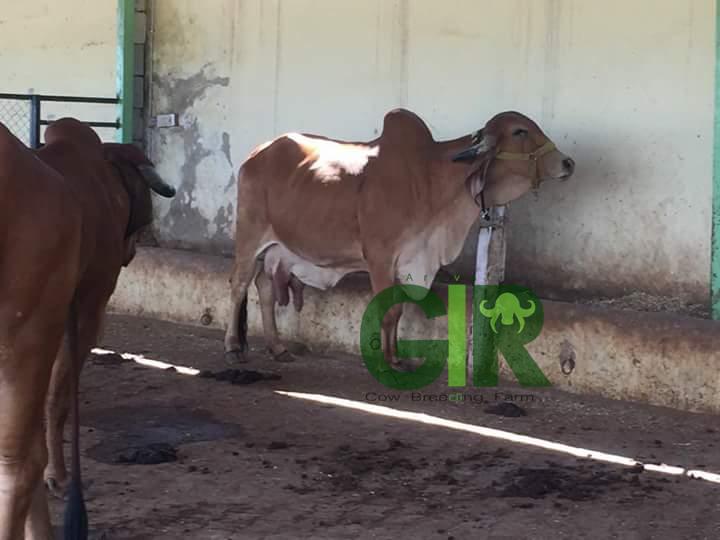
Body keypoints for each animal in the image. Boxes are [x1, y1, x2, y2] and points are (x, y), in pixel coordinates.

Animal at [0, 117, 175, 539]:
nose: (134, 249)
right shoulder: (87, 303)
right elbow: (59, 396)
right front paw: (61, 476)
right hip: (25, 329)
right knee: (17, 461)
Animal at [223, 108, 575, 367]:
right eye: (519, 131)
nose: (568, 162)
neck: (432, 180)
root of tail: (258, 151)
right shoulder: (380, 258)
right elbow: (388, 311)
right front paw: (386, 360)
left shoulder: (410, 262)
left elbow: (400, 309)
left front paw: (396, 356)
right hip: (249, 235)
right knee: (239, 284)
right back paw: (232, 346)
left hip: (277, 248)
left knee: (265, 287)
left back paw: (277, 347)